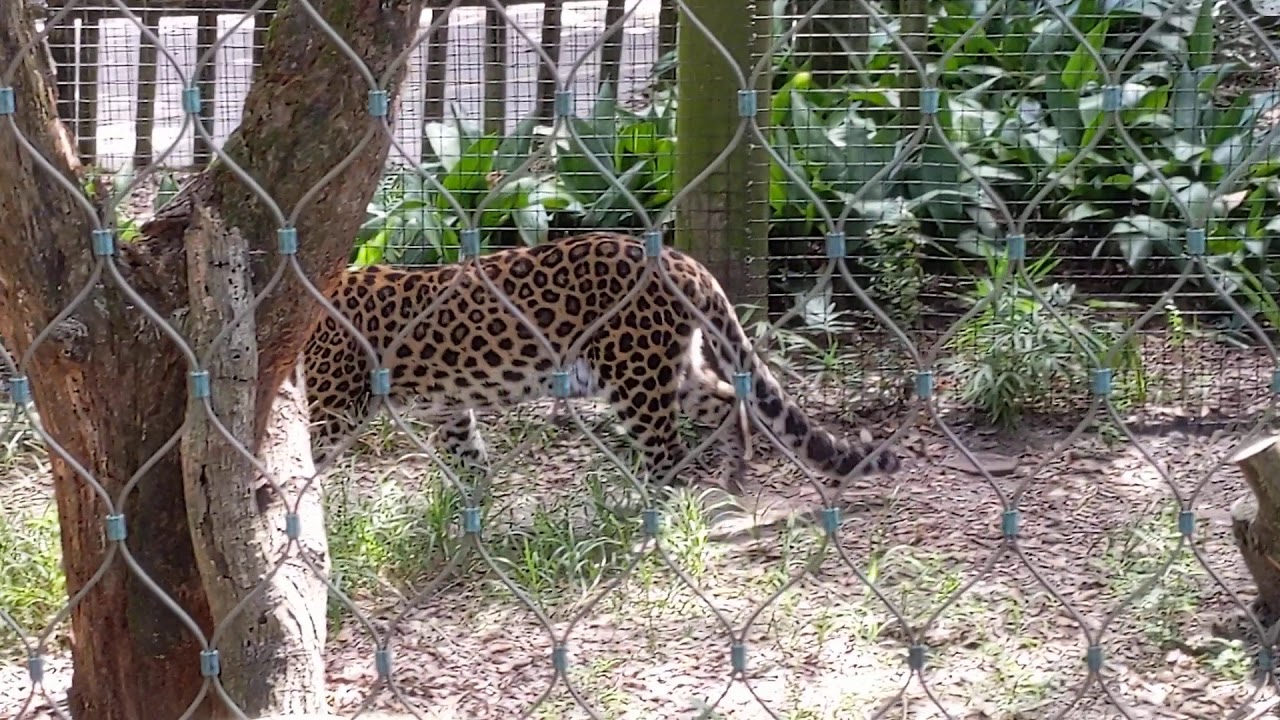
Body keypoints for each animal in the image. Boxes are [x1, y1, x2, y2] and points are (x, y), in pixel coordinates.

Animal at [303, 231, 901, 491]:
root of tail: (683, 262)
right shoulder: (449, 410)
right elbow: (469, 456)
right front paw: (472, 514)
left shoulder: (331, 406)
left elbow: (308, 462)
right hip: (673, 367)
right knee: (729, 400)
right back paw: (734, 476)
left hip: (633, 374)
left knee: (667, 450)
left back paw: (647, 508)